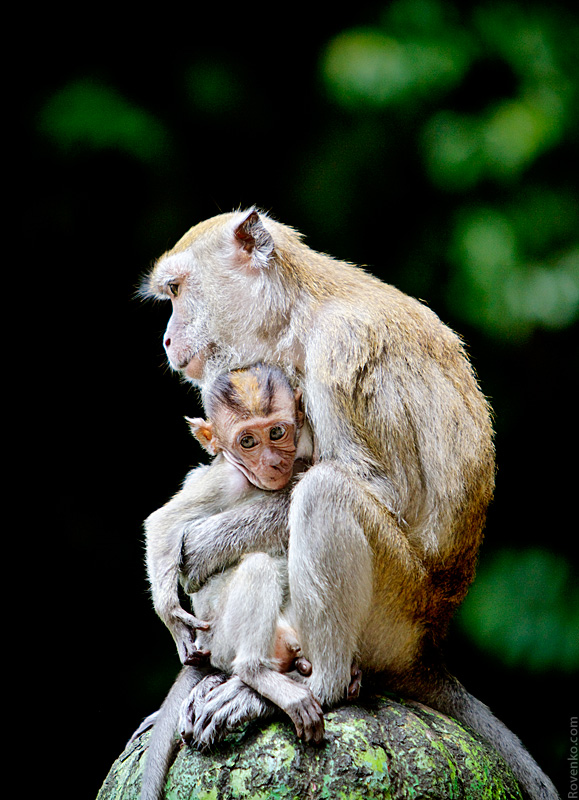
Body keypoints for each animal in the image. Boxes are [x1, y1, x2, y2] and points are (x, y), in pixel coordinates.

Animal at [142, 209, 558, 800]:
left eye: (177, 291)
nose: (168, 337)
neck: (296, 318)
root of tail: (428, 648)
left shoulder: (339, 353)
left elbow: (372, 486)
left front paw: (201, 546)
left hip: (395, 611)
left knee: (326, 495)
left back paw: (317, 686)